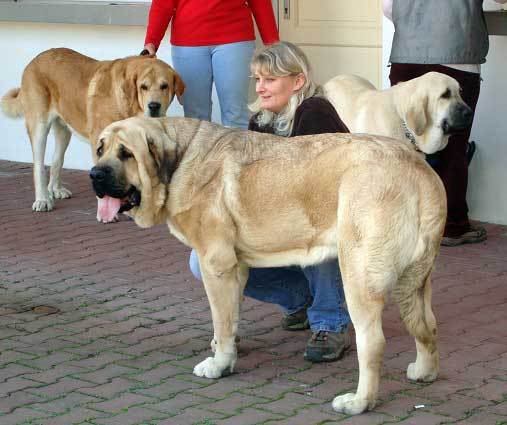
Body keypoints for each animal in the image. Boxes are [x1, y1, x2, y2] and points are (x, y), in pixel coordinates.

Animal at [90, 116, 444, 414]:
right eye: (100, 149)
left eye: (126, 154)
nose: (95, 174)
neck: (180, 161)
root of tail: (417, 167)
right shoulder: (236, 267)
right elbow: (229, 320)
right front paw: (225, 351)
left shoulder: (215, 263)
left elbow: (221, 320)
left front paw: (219, 365)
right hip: (416, 280)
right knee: (427, 325)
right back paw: (424, 372)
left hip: (358, 274)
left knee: (372, 343)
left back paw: (359, 401)